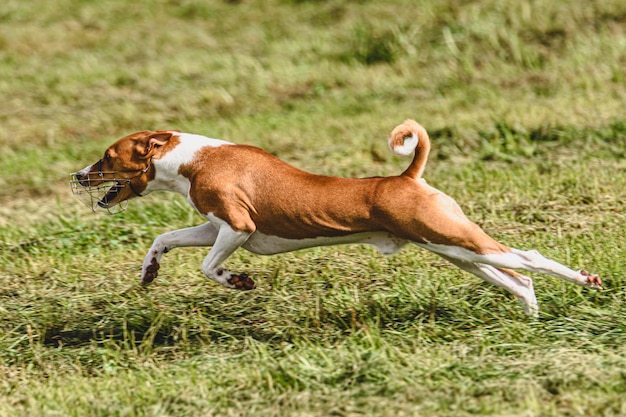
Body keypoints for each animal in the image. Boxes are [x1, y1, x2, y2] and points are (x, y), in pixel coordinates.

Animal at [70, 120, 604, 316]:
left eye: (106, 156)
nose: (77, 175)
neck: (194, 159)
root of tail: (407, 177)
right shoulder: (213, 225)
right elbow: (164, 238)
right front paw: (149, 272)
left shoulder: (238, 228)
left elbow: (208, 267)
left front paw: (238, 281)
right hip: (455, 251)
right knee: (518, 280)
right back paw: (530, 317)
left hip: (457, 241)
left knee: (530, 259)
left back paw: (587, 280)